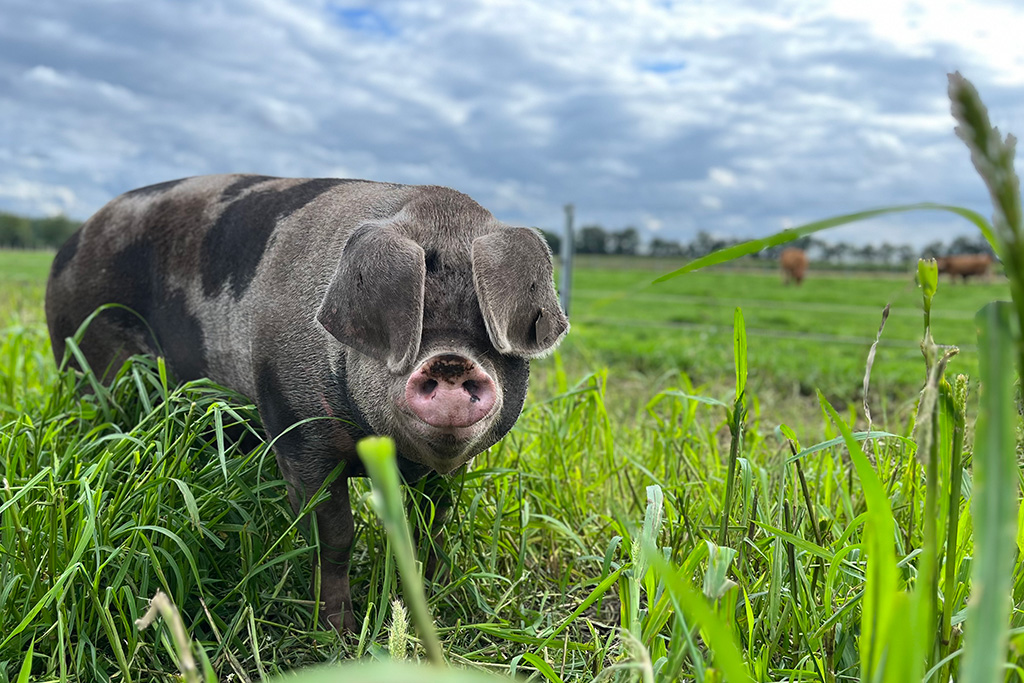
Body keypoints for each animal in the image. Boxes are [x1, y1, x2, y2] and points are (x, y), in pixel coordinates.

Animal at [44, 174, 569, 631]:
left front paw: (439, 605)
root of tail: (70, 243)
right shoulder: (294, 423)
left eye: (485, 330)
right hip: (86, 364)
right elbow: (332, 536)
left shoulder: (446, 468)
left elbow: (434, 524)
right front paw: (338, 633)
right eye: (413, 321)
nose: (451, 361)